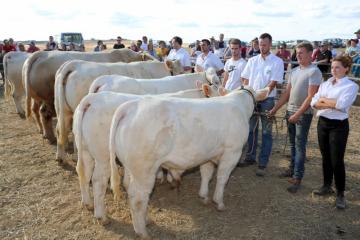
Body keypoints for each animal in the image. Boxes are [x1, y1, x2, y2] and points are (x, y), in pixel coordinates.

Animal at [73, 86, 218, 225]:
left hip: (86, 151)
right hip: (103, 156)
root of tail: (91, 99)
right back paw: (102, 216)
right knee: (98, 180)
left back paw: (88, 203)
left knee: (84, 173)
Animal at [109, 86, 270, 238]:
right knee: (138, 198)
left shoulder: (207, 154)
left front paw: (204, 196)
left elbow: (206, 174)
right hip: (144, 169)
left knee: (129, 188)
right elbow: (222, 178)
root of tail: (131, 105)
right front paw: (219, 202)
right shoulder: (232, 152)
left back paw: (146, 220)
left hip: (130, 167)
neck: (239, 105)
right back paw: (142, 232)